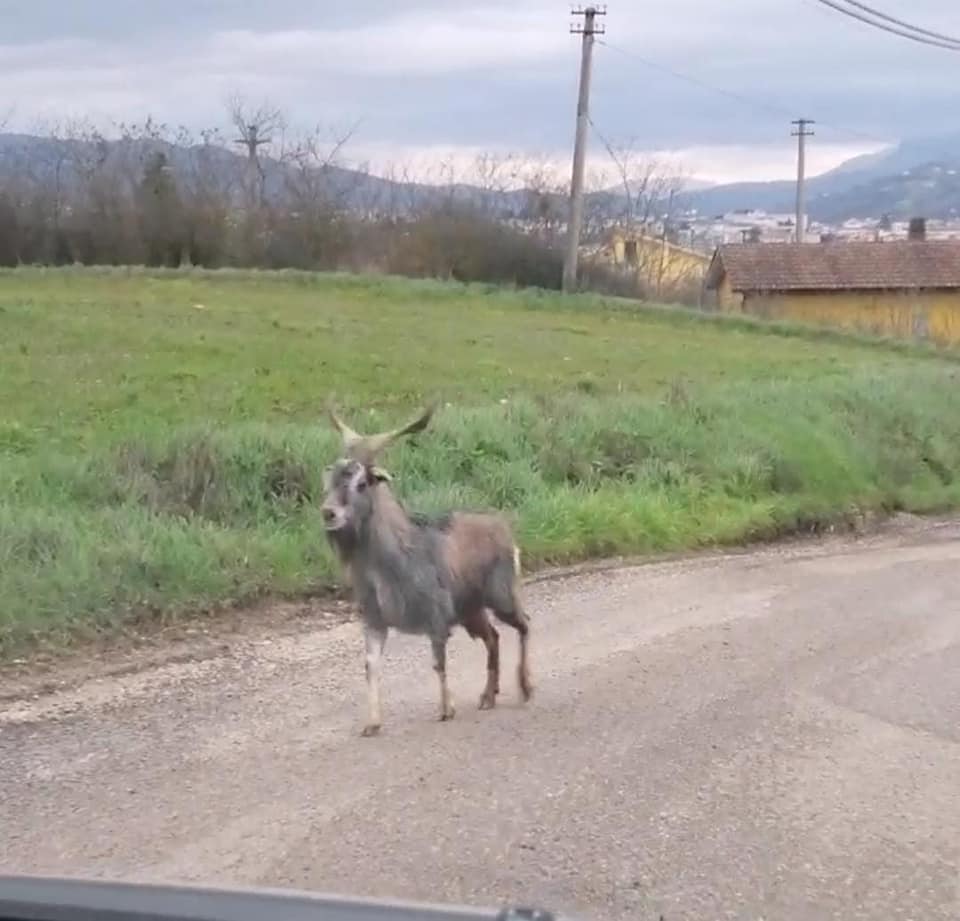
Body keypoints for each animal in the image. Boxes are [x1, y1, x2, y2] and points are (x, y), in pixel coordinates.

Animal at [320, 398, 532, 736]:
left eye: (361, 482)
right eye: (330, 480)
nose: (329, 513)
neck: (393, 562)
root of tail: (504, 529)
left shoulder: (437, 615)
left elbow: (438, 661)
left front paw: (447, 709)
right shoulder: (374, 619)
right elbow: (371, 666)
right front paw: (372, 723)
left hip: (501, 594)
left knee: (523, 624)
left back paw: (524, 688)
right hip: (471, 609)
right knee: (494, 637)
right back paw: (488, 696)